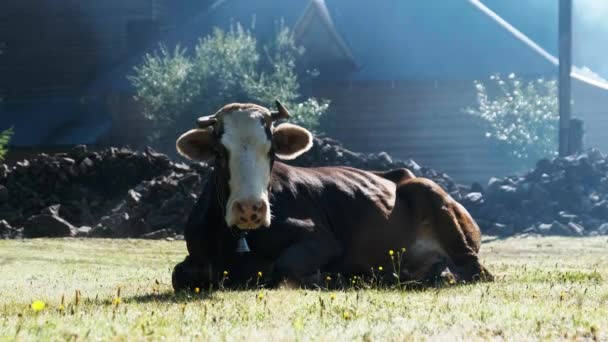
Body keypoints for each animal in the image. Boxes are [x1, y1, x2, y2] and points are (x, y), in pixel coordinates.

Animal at [171, 100, 494, 290]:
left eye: (271, 151)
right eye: (219, 153)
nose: (250, 208)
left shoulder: (322, 239)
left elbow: (285, 266)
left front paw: (327, 277)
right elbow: (178, 274)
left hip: (432, 196)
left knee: (475, 270)